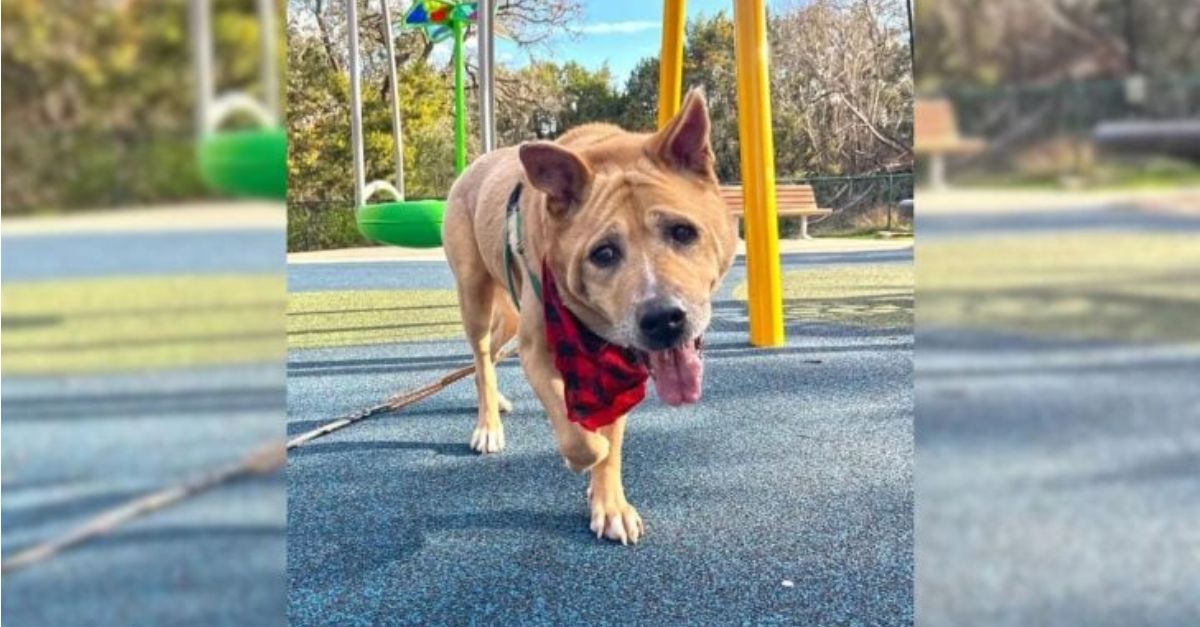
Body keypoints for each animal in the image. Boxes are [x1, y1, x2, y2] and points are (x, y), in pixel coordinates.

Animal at [446, 88, 734, 540]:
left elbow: (610, 441)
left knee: (487, 358)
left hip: (508, 309)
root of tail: (478, 162)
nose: (664, 319)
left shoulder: (616, 367)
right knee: (480, 354)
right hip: (474, 294)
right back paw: (488, 425)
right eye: (604, 253)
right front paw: (586, 453)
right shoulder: (537, 350)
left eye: (683, 232)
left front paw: (610, 505)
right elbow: (583, 441)